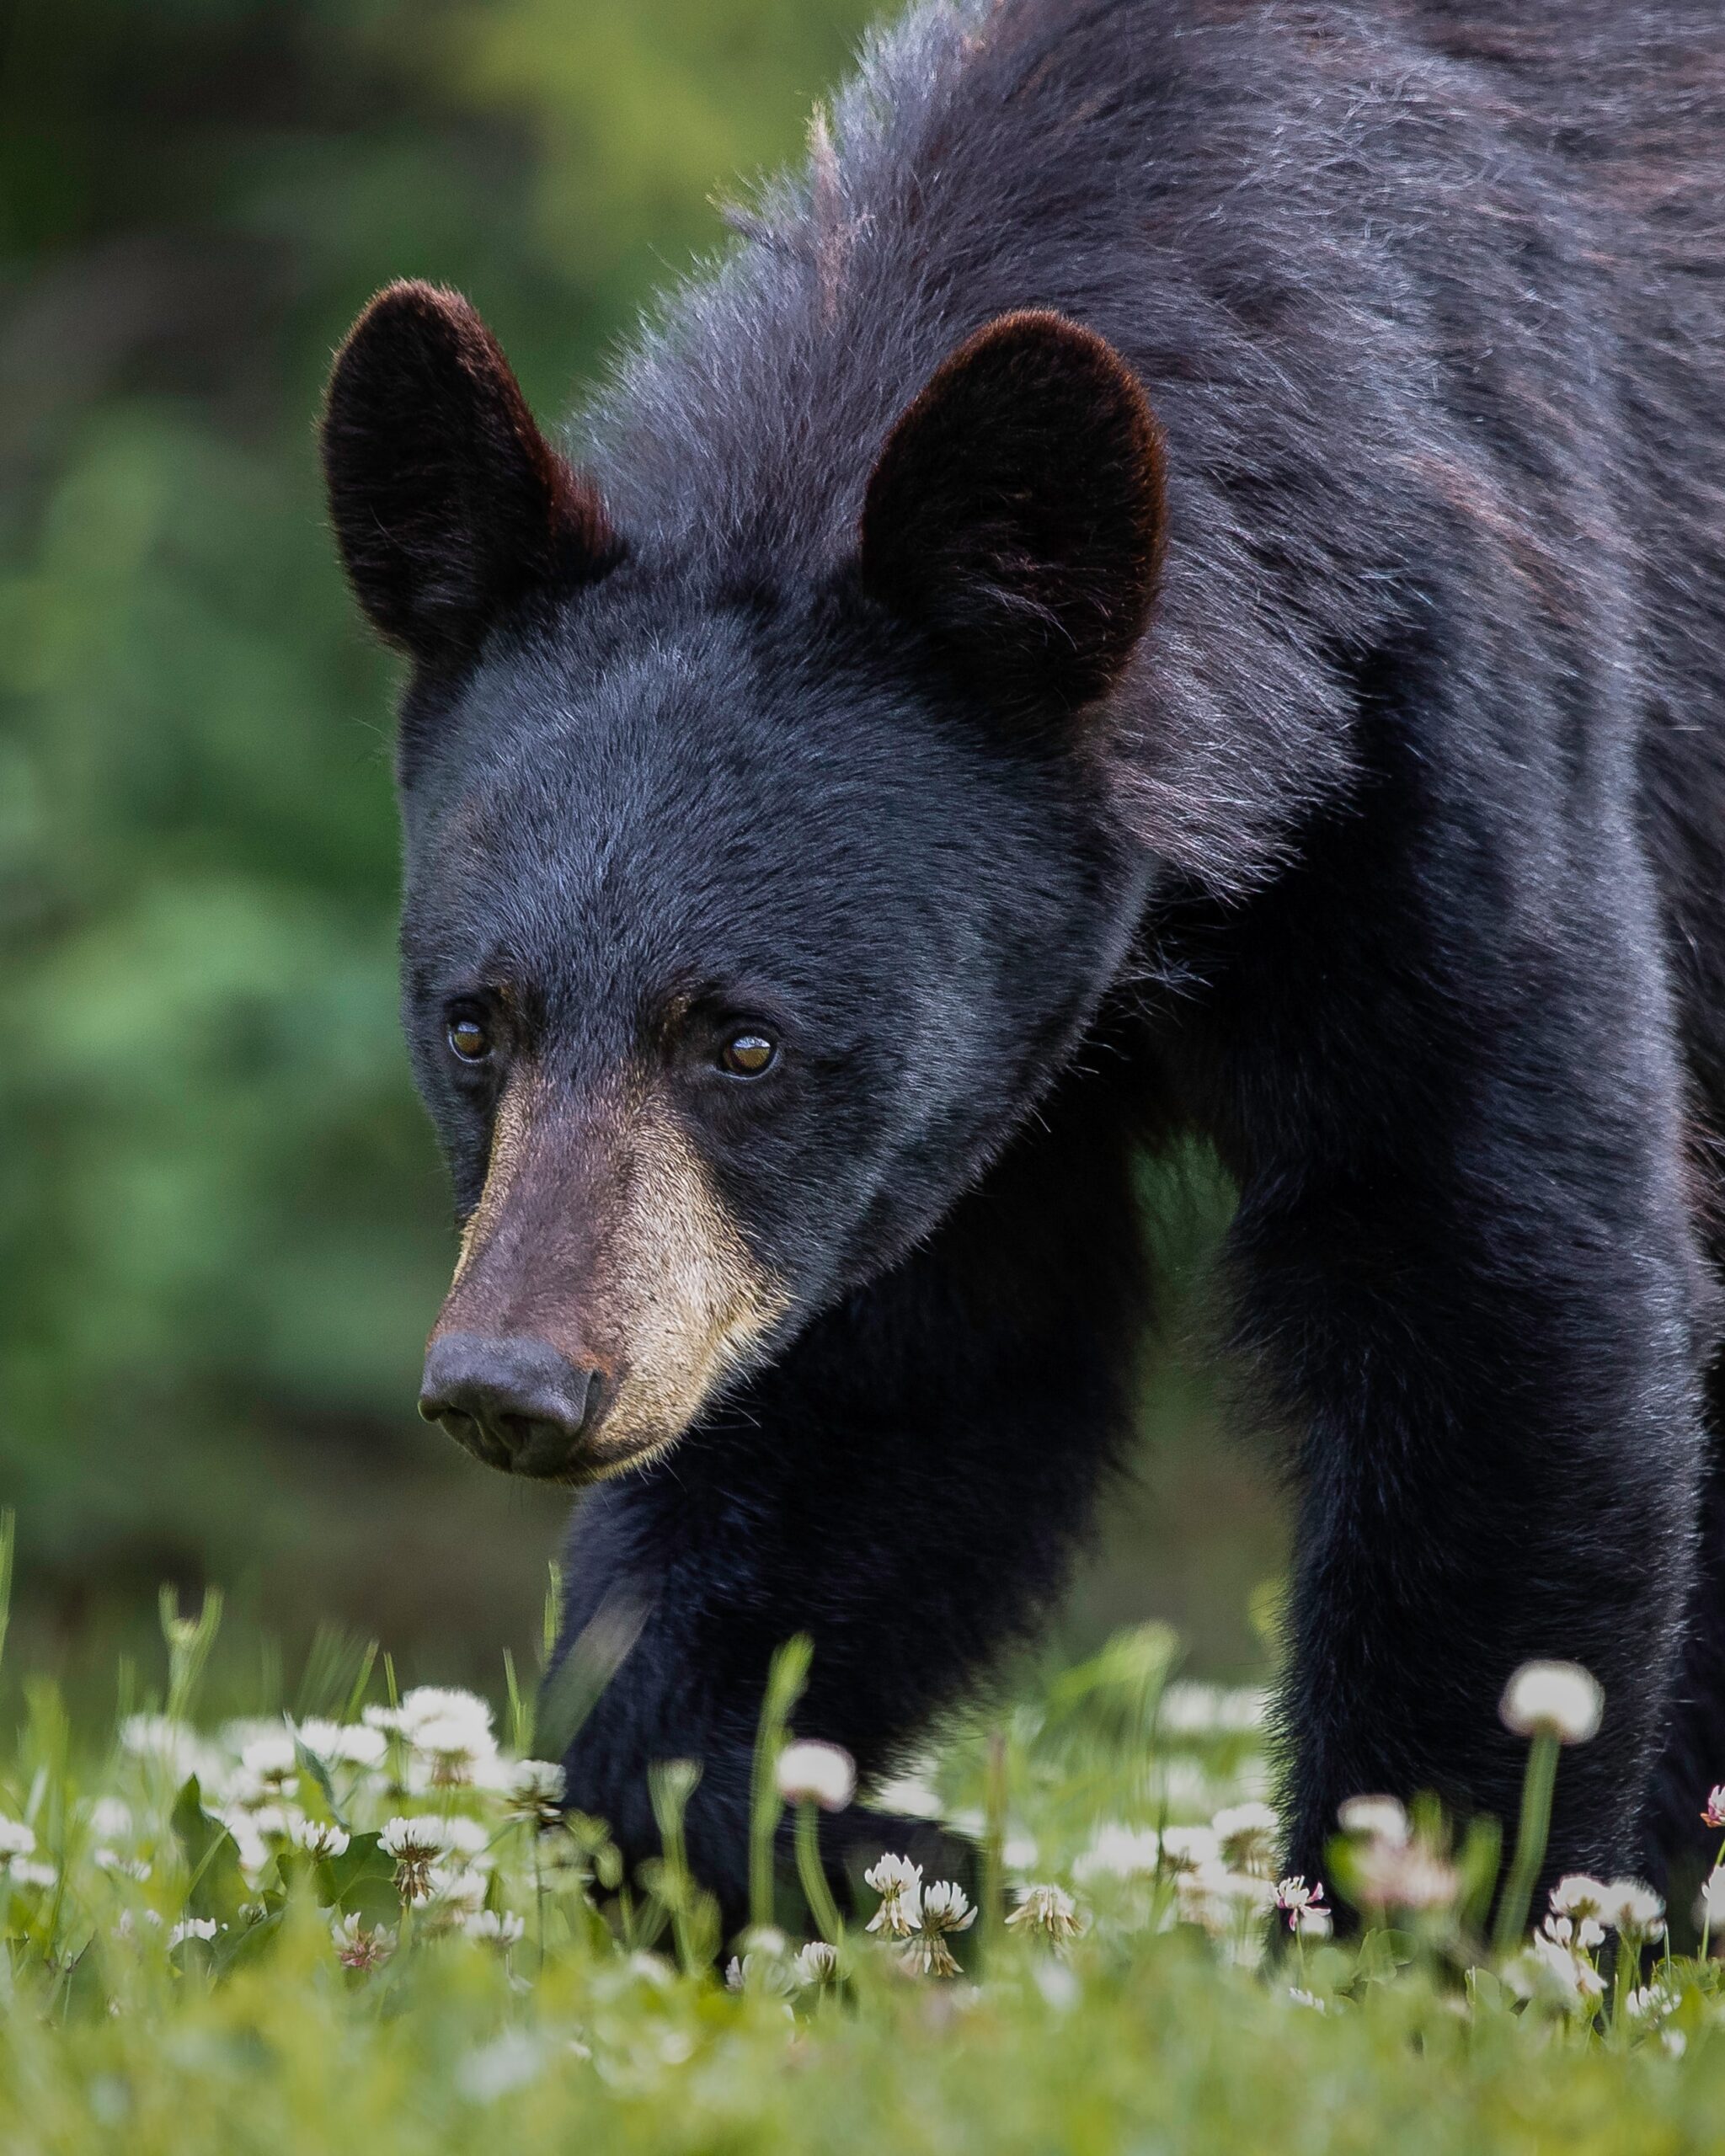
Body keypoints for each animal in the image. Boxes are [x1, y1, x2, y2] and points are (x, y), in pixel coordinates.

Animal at [317, 0, 1725, 1923]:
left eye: (741, 1040)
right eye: (476, 1025)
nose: (517, 1387)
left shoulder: (1457, 723)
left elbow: (1498, 1280)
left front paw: (1412, 1922)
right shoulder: (942, 1105)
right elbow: (904, 1387)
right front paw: (859, 1850)